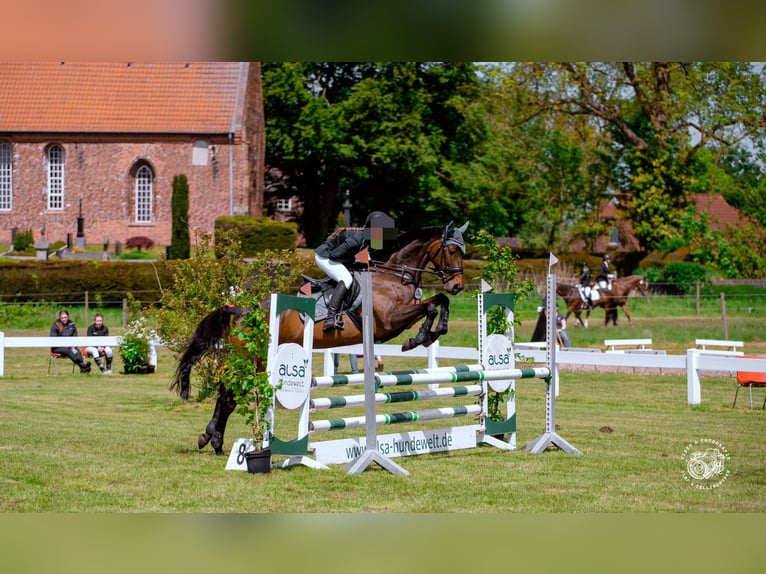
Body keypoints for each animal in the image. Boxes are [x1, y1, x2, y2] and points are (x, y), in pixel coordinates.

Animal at [170, 222, 469, 455]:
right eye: (452, 250)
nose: (457, 286)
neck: (394, 275)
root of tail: (243, 311)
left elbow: (438, 301)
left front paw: (434, 332)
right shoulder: (389, 321)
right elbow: (430, 307)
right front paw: (420, 338)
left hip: (257, 360)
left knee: (228, 394)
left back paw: (213, 440)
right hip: (251, 357)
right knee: (227, 394)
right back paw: (214, 440)